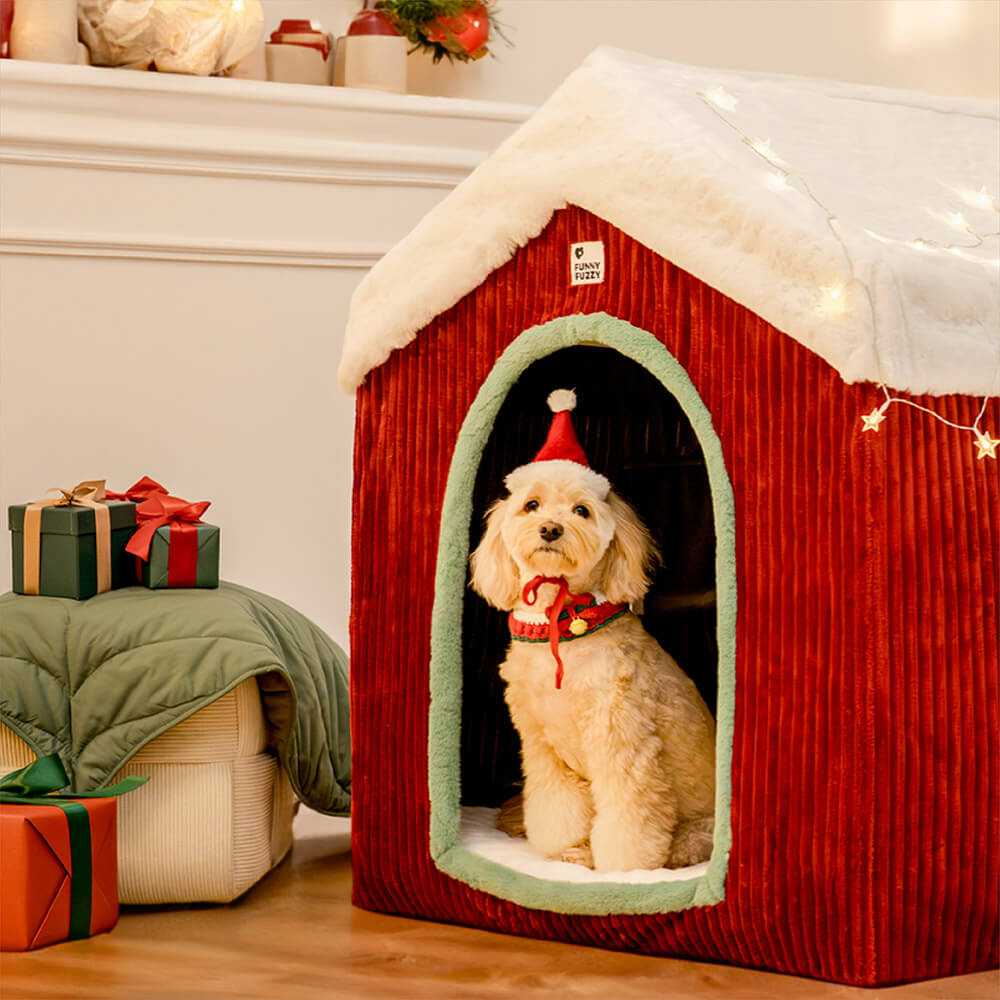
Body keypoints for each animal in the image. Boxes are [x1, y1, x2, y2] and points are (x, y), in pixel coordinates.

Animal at [468, 386, 712, 872]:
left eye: (581, 510)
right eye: (531, 505)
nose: (550, 528)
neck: (560, 625)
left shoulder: (623, 744)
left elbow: (630, 819)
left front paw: (621, 868)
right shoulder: (542, 749)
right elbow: (557, 809)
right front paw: (568, 849)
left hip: (701, 826)